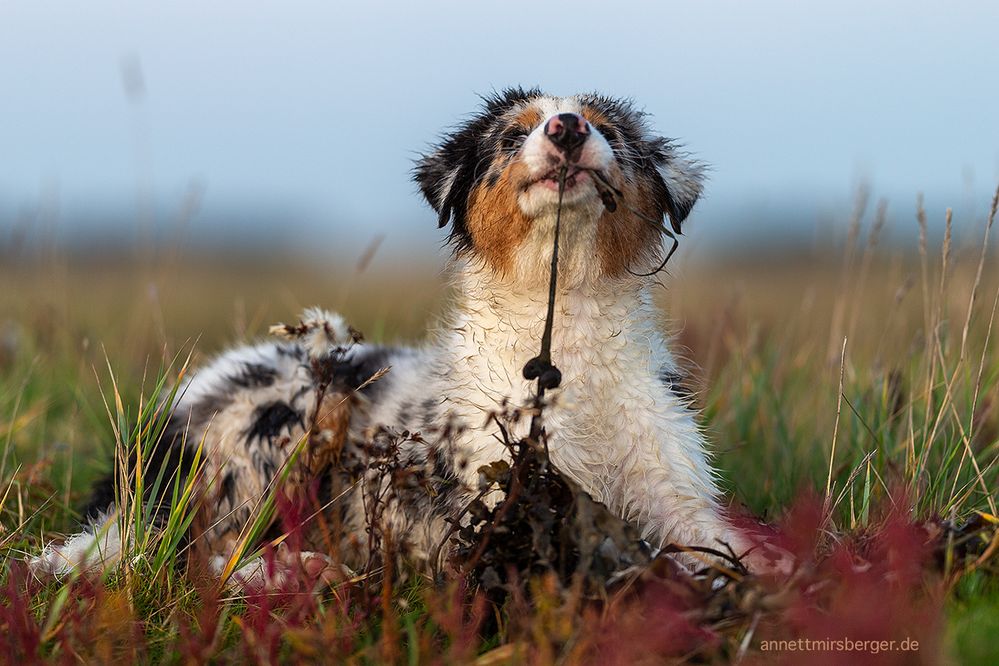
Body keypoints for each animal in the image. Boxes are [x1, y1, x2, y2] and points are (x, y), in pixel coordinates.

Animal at [29, 88, 764, 588]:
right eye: (513, 133)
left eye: (609, 130)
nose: (567, 126)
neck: (560, 340)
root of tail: (164, 420)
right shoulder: (496, 509)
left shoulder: (675, 493)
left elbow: (722, 554)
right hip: (282, 422)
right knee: (197, 557)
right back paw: (301, 572)